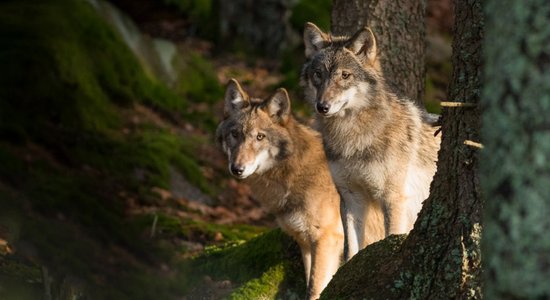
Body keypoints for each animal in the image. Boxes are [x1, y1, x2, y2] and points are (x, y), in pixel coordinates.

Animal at [217, 78, 342, 298]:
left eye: (260, 137)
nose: (237, 169)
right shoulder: (305, 241)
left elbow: (315, 288)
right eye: (235, 134)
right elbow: (309, 282)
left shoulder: (326, 238)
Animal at [300, 22, 442, 260]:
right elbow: (351, 250)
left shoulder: (393, 199)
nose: (322, 107)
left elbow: (390, 236)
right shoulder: (351, 198)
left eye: (345, 75)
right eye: (318, 74)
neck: (352, 137)